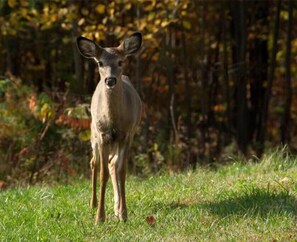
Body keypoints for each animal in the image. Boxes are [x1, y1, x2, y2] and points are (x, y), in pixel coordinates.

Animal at [75, 32, 142, 223]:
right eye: (100, 63)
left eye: (121, 61)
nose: (110, 80)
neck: (113, 121)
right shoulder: (103, 135)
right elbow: (103, 173)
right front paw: (100, 217)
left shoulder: (127, 135)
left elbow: (121, 171)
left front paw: (123, 214)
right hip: (93, 134)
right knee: (94, 163)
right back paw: (93, 204)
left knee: (113, 164)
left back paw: (116, 208)